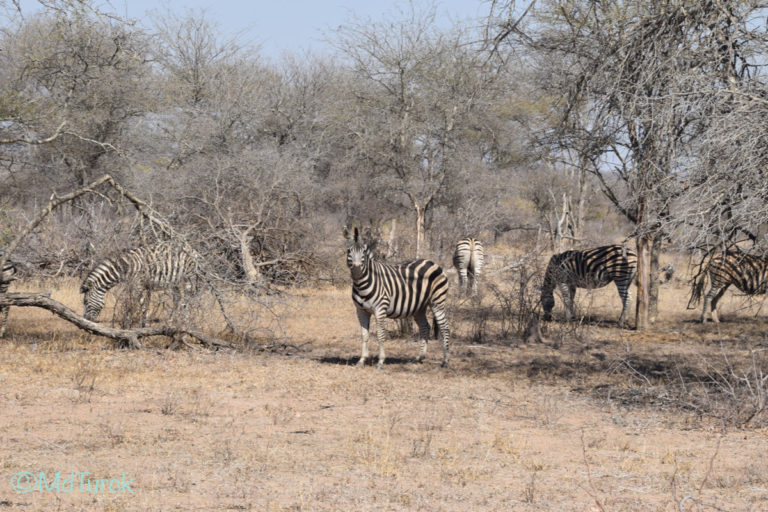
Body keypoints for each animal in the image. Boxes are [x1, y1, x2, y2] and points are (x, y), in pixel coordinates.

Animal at [344, 226, 450, 370]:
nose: (356, 271)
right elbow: (364, 335)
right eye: (348, 250)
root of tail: (432, 262)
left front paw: (380, 361)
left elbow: (380, 335)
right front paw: (362, 360)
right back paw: (419, 357)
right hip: (419, 307)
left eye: (364, 252)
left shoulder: (380, 309)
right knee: (425, 327)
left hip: (437, 302)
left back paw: (445, 361)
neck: (362, 284)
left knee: (445, 328)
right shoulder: (361, 311)